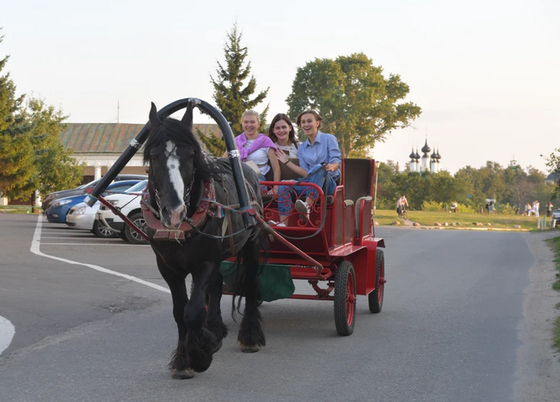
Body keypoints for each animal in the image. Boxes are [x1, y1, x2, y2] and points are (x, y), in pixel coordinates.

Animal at [143, 102, 268, 378]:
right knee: (217, 286)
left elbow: (194, 311)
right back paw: (216, 329)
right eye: (154, 157)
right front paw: (184, 359)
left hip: (252, 244)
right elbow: (181, 310)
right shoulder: (167, 267)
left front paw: (200, 354)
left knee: (251, 284)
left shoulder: (206, 262)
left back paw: (250, 336)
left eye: (190, 156)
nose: (174, 212)